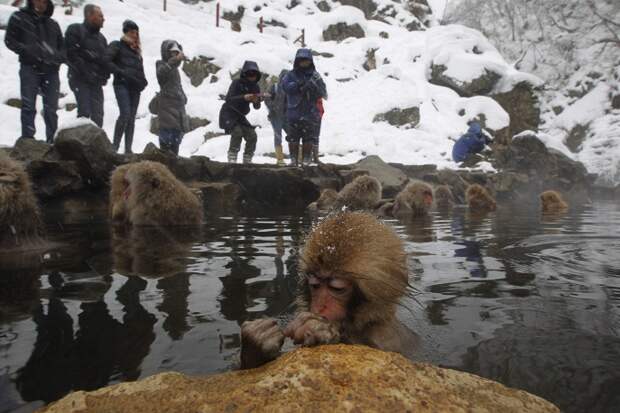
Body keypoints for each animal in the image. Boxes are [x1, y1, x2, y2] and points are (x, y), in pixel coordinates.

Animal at [241, 211, 416, 368]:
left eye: (336, 288)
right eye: (315, 286)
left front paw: (316, 328)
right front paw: (256, 342)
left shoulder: (384, 339)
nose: (320, 307)